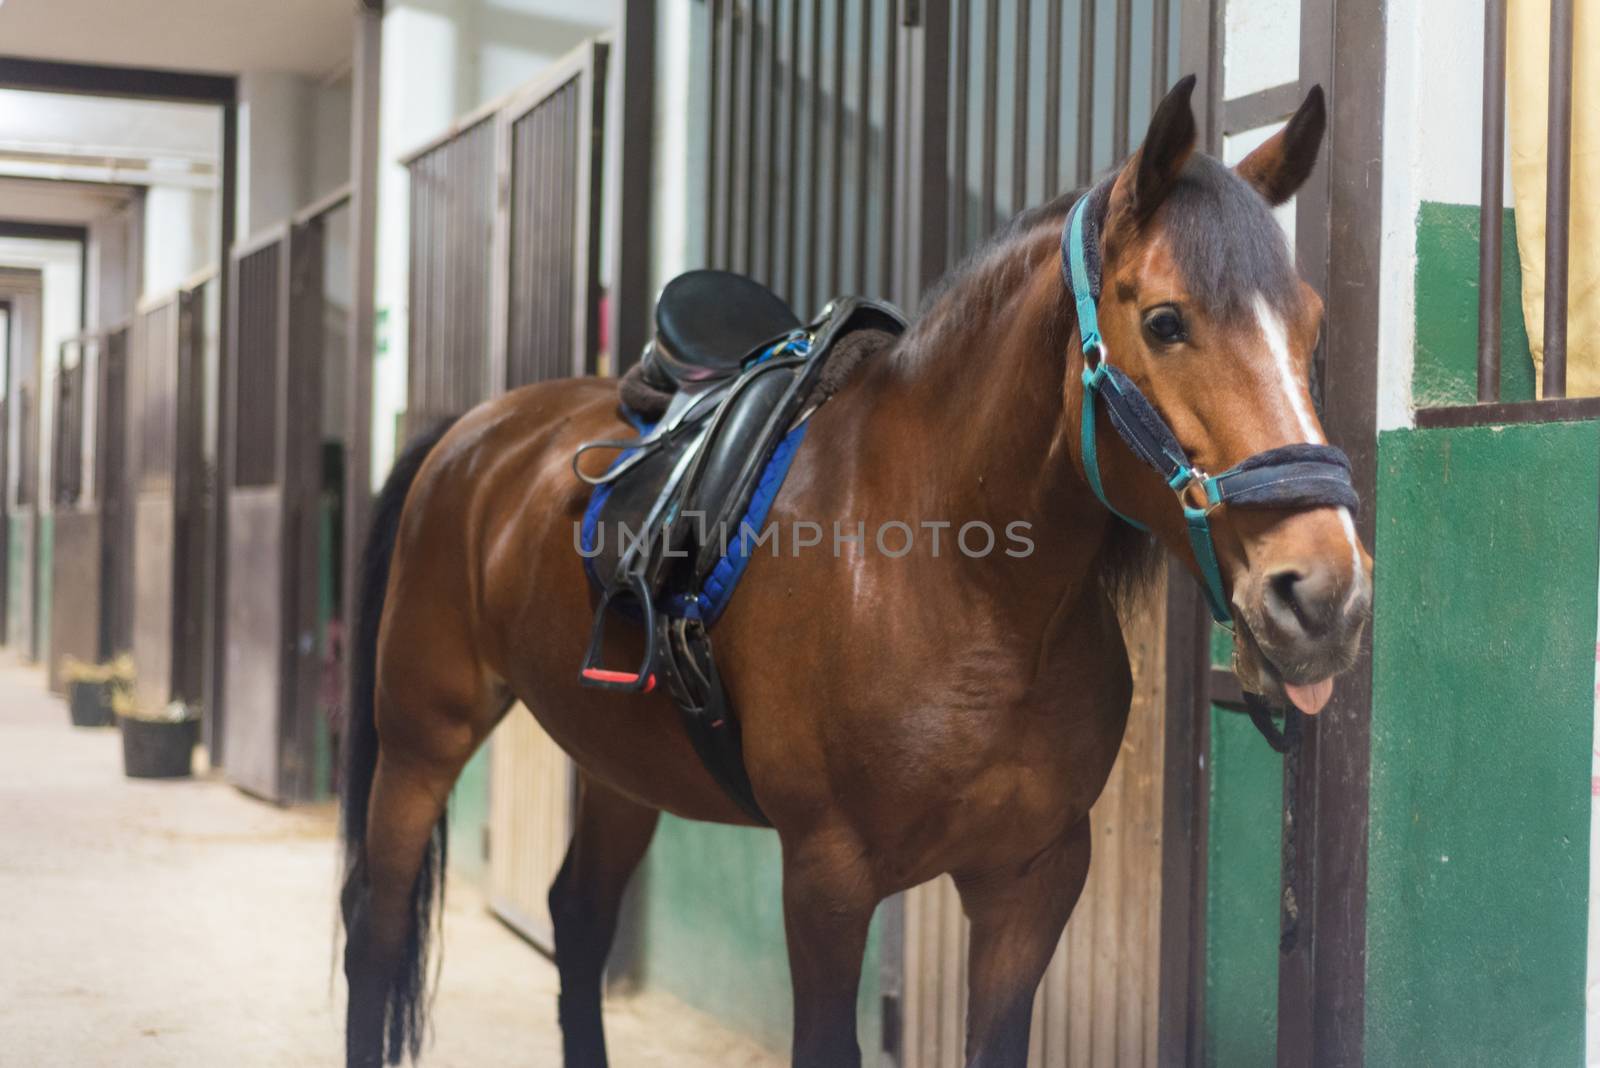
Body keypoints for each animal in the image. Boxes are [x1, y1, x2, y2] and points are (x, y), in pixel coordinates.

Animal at [340, 81, 1376, 1068]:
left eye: (1313, 327)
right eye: (1165, 322)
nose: (1325, 594)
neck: (958, 582)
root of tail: (472, 433)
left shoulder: (1032, 880)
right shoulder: (828, 880)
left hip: (619, 766)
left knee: (578, 921)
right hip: (422, 734)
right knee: (374, 928)